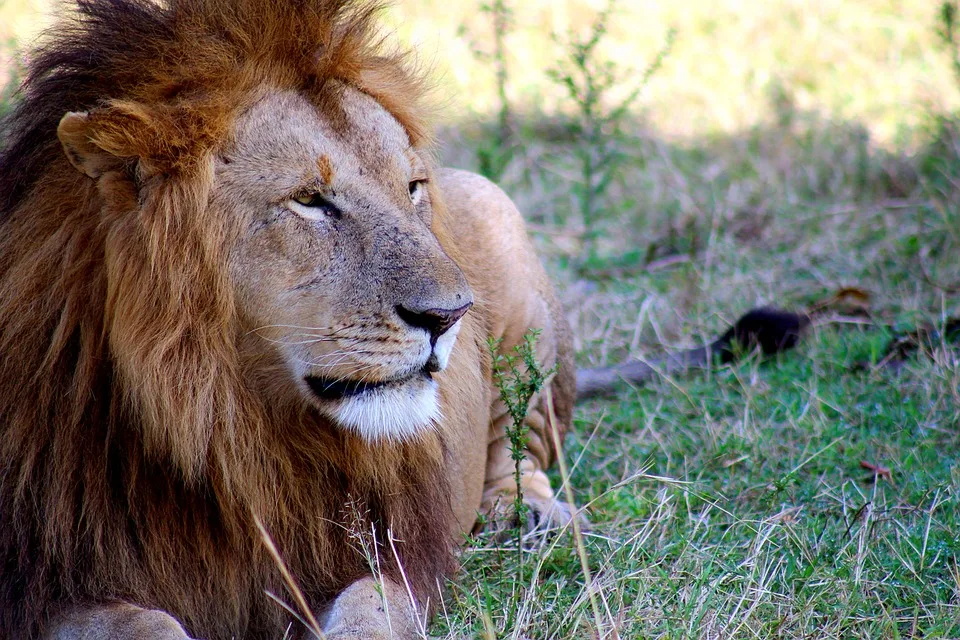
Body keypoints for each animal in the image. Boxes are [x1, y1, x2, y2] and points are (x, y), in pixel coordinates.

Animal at [0, 1, 572, 640]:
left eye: (413, 187)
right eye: (309, 200)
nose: (450, 316)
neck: (219, 419)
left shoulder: (389, 555)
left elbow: (369, 612)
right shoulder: (45, 585)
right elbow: (146, 627)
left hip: (498, 218)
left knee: (524, 444)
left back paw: (527, 515)